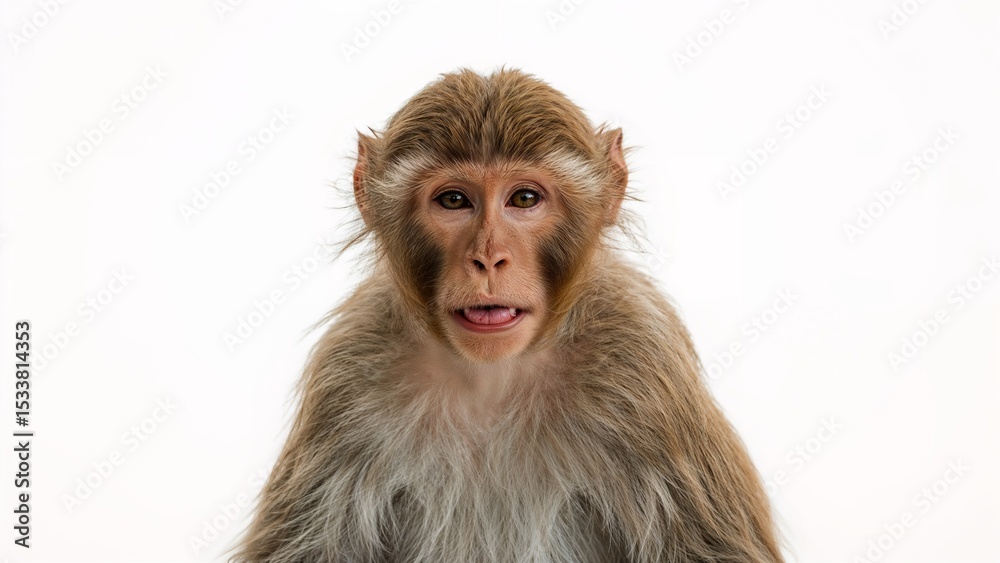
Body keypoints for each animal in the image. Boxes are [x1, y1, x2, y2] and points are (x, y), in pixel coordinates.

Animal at [233, 68, 783, 563]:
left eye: (524, 198)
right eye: (454, 200)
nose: (488, 258)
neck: (492, 378)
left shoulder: (644, 363)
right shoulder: (347, 375)